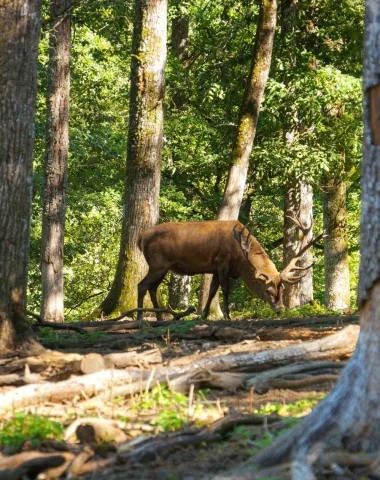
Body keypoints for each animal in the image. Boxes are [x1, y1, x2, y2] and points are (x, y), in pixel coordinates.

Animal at [135, 211, 322, 320]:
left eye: (282, 290)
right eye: (268, 290)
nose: (280, 310)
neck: (240, 259)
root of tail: (141, 237)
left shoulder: (215, 267)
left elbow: (212, 290)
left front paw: (204, 315)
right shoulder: (223, 262)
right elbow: (225, 289)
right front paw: (227, 316)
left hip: (163, 267)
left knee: (152, 287)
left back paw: (159, 318)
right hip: (158, 263)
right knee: (142, 285)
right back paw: (139, 318)